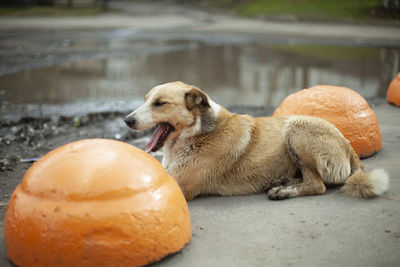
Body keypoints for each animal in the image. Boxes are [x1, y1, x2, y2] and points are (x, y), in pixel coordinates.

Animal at [124, 81, 388, 201]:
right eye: (145, 99)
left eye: (160, 103)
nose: (126, 120)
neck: (199, 132)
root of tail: (348, 146)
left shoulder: (179, 186)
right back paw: (283, 181)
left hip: (297, 128)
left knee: (317, 185)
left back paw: (284, 190)